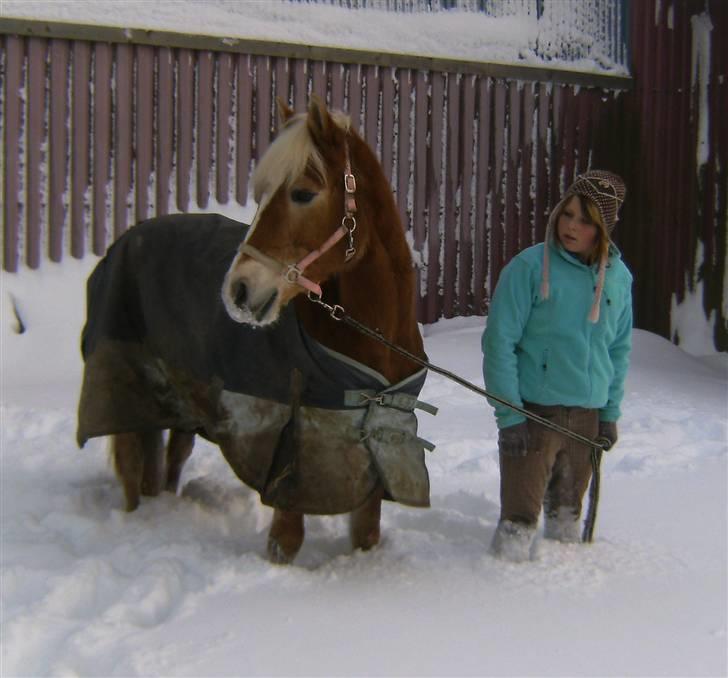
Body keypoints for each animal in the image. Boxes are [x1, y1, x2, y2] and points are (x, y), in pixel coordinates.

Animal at [77, 95, 432, 564]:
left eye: (303, 193)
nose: (238, 290)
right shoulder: (290, 461)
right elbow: (286, 543)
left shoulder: (373, 462)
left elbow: (366, 537)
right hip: (129, 398)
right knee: (134, 472)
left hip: (184, 404)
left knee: (170, 462)